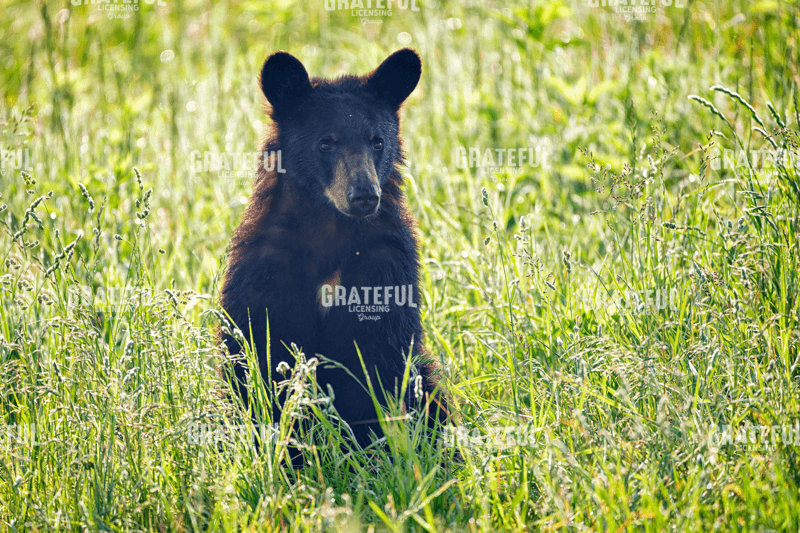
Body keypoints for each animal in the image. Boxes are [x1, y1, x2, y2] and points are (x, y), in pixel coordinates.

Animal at [219, 48, 451, 455]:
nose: (364, 195)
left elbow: (373, 361)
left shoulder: (384, 267)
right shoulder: (267, 266)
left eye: (377, 141)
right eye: (326, 143)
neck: (329, 228)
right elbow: (263, 352)